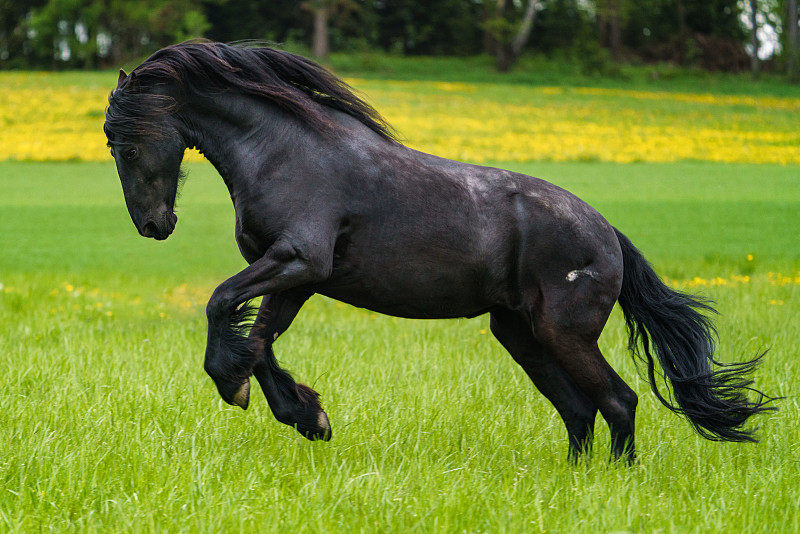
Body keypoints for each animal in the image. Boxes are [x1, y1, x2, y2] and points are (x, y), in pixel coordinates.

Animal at [103, 42, 772, 462]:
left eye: (129, 146)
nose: (153, 225)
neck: (286, 151)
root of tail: (608, 233)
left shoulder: (299, 261)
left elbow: (222, 306)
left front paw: (238, 388)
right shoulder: (296, 277)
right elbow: (259, 341)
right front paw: (307, 416)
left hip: (564, 334)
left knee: (618, 401)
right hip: (520, 335)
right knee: (579, 410)